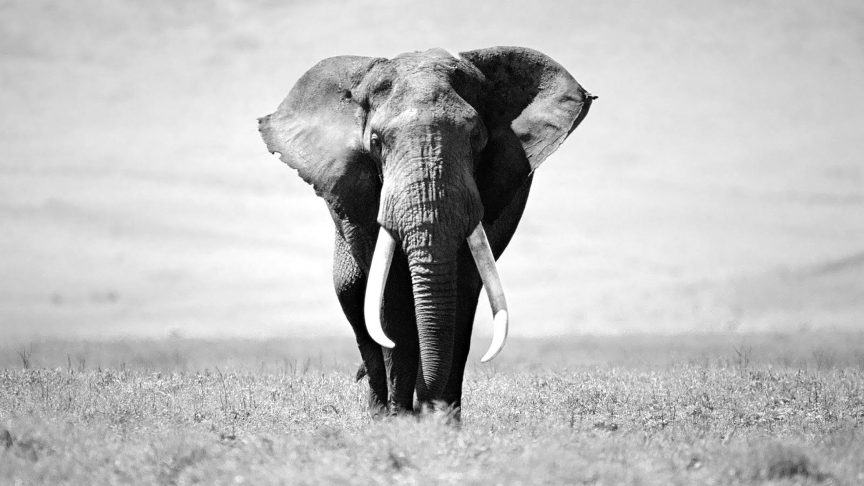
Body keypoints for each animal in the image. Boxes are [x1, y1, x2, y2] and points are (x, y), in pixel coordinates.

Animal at [258, 46, 594, 418]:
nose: (423, 408)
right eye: (375, 141)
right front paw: (400, 420)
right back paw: (380, 412)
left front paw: (441, 420)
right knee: (352, 294)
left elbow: (463, 284)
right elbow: (390, 291)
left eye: (477, 138)